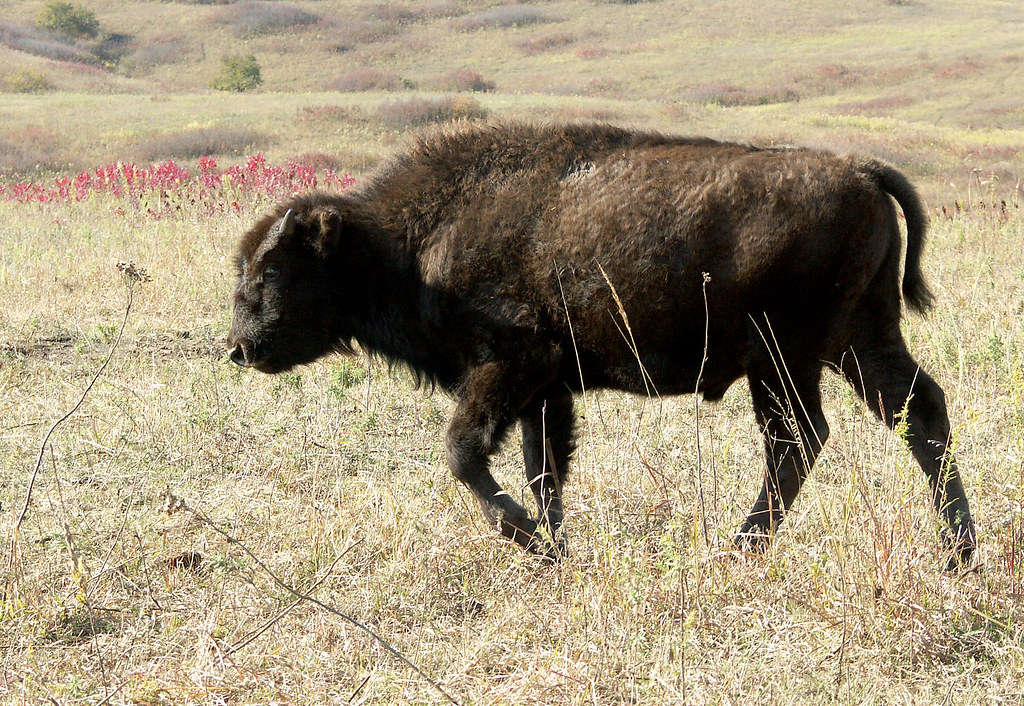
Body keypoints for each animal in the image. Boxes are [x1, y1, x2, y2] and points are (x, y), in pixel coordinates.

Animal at [227, 120, 975, 568]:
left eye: (272, 271)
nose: (239, 347)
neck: (407, 242)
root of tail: (862, 171)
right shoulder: (546, 390)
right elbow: (543, 468)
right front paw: (554, 544)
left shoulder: (513, 366)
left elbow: (465, 454)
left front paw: (533, 541)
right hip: (856, 343)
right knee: (916, 414)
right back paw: (959, 555)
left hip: (785, 360)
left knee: (801, 439)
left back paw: (738, 550)